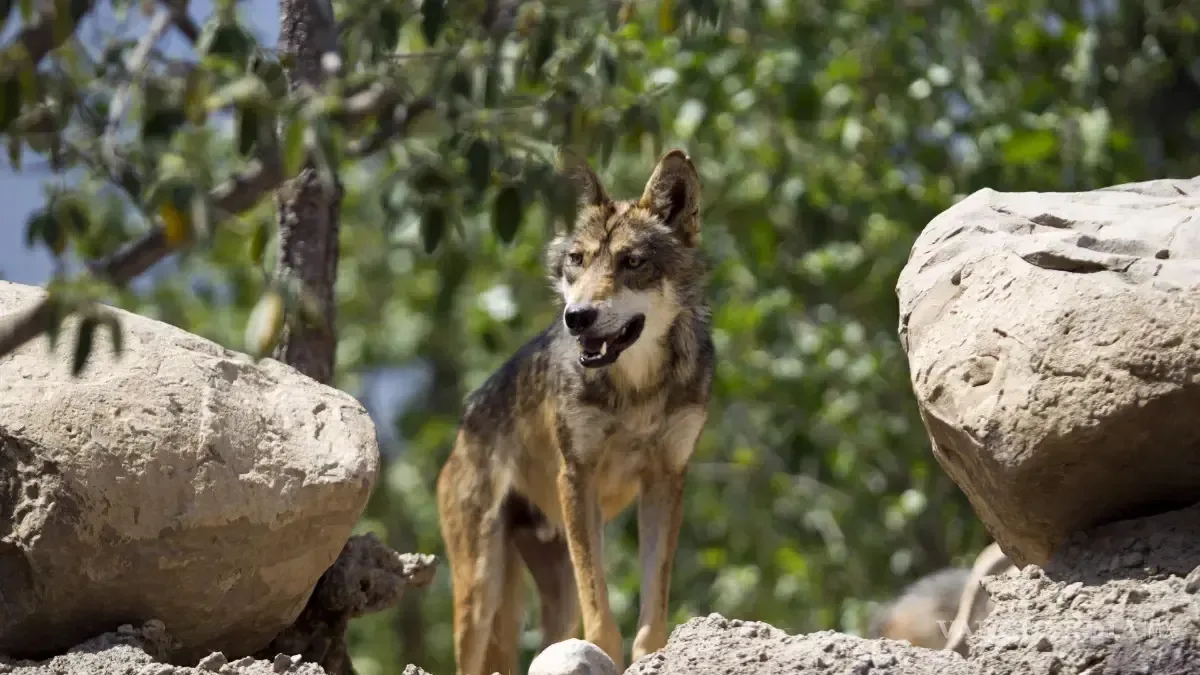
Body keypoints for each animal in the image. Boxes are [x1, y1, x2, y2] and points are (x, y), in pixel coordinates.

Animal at [436, 149, 713, 675]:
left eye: (632, 262)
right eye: (577, 261)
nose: (578, 317)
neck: (637, 389)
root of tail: (464, 424)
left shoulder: (666, 478)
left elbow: (653, 605)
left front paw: (652, 657)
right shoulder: (578, 476)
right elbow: (600, 611)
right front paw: (606, 653)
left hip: (551, 584)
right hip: (481, 589)